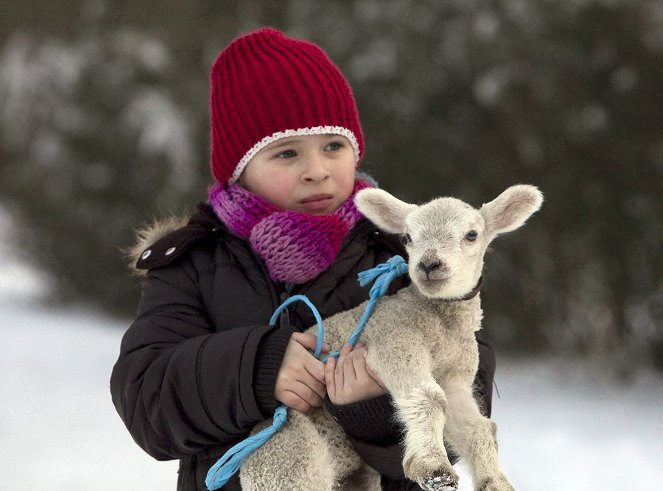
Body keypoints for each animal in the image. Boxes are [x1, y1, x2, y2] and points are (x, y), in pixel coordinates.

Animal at [240, 184, 544, 491]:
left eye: (472, 235)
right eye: (407, 237)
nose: (429, 265)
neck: (442, 328)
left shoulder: (456, 375)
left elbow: (478, 427)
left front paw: (495, 482)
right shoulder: (394, 339)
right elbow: (430, 397)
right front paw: (433, 468)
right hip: (289, 460)